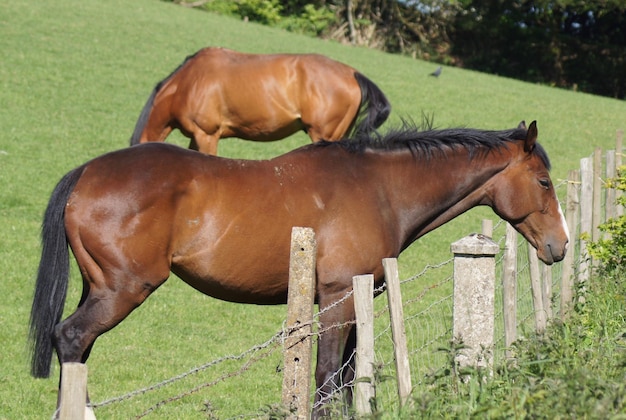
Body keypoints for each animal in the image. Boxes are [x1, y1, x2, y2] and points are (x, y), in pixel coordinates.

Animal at [29, 120, 564, 416]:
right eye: (543, 181)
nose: (559, 245)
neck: (379, 188)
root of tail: (87, 173)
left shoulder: (356, 299)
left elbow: (348, 378)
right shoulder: (336, 299)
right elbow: (327, 377)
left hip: (100, 289)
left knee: (77, 348)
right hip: (123, 290)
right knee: (71, 338)